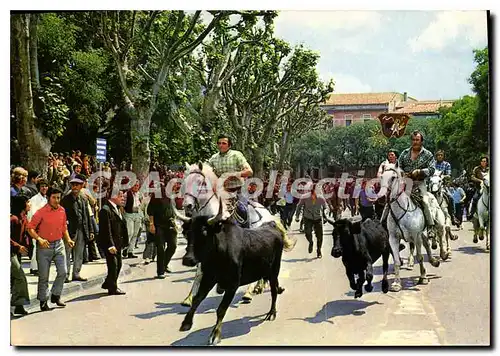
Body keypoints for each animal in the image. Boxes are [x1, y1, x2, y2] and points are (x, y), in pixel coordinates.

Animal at [176, 163, 294, 306]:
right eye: (184, 182)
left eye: (200, 182)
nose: (187, 205)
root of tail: (266, 212)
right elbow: (199, 271)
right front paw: (189, 298)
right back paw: (258, 287)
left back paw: (249, 293)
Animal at [181, 211, 286, 344]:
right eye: (188, 233)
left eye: (204, 232)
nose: (187, 259)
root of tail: (272, 224)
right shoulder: (208, 279)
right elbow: (197, 299)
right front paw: (186, 323)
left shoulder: (232, 284)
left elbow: (221, 309)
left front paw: (215, 334)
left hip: (274, 271)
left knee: (273, 292)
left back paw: (271, 313)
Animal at [378, 164, 442, 292]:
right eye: (381, 176)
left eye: (393, 177)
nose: (381, 197)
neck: (402, 211)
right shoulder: (393, 238)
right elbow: (397, 261)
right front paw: (396, 284)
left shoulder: (416, 236)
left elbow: (420, 257)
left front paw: (423, 278)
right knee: (426, 243)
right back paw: (433, 261)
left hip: (429, 227)